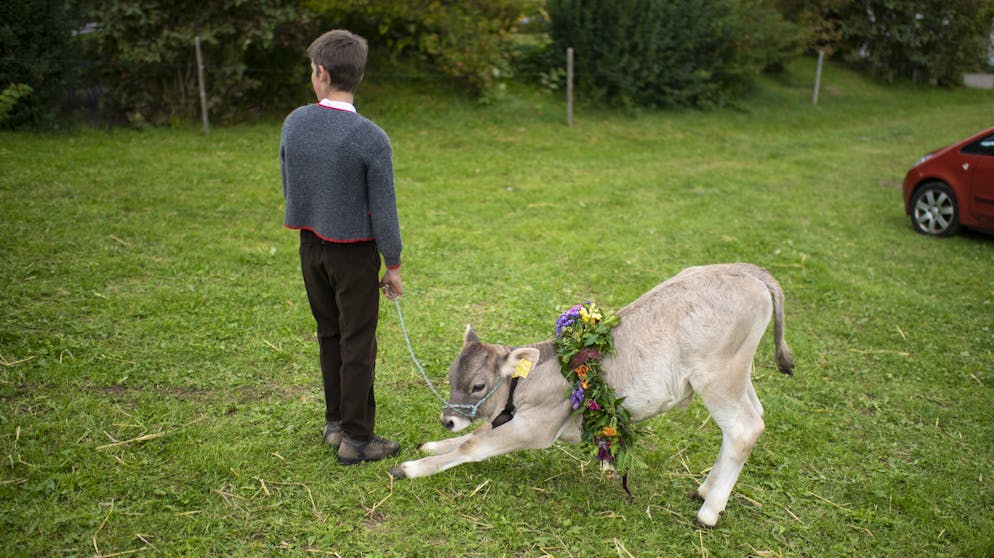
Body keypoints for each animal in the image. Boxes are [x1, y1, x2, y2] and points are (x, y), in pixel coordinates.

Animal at [388, 264, 792, 528]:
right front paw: (433, 445)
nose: (447, 419)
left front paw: (411, 468)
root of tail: (748, 271)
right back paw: (706, 490)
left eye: (477, 386)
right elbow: (474, 435)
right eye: (450, 376)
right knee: (751, 417)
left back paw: (708, 512)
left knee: (744, 428)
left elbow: (473, 445)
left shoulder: (536, 428)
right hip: (737, 373)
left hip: (718, 375)